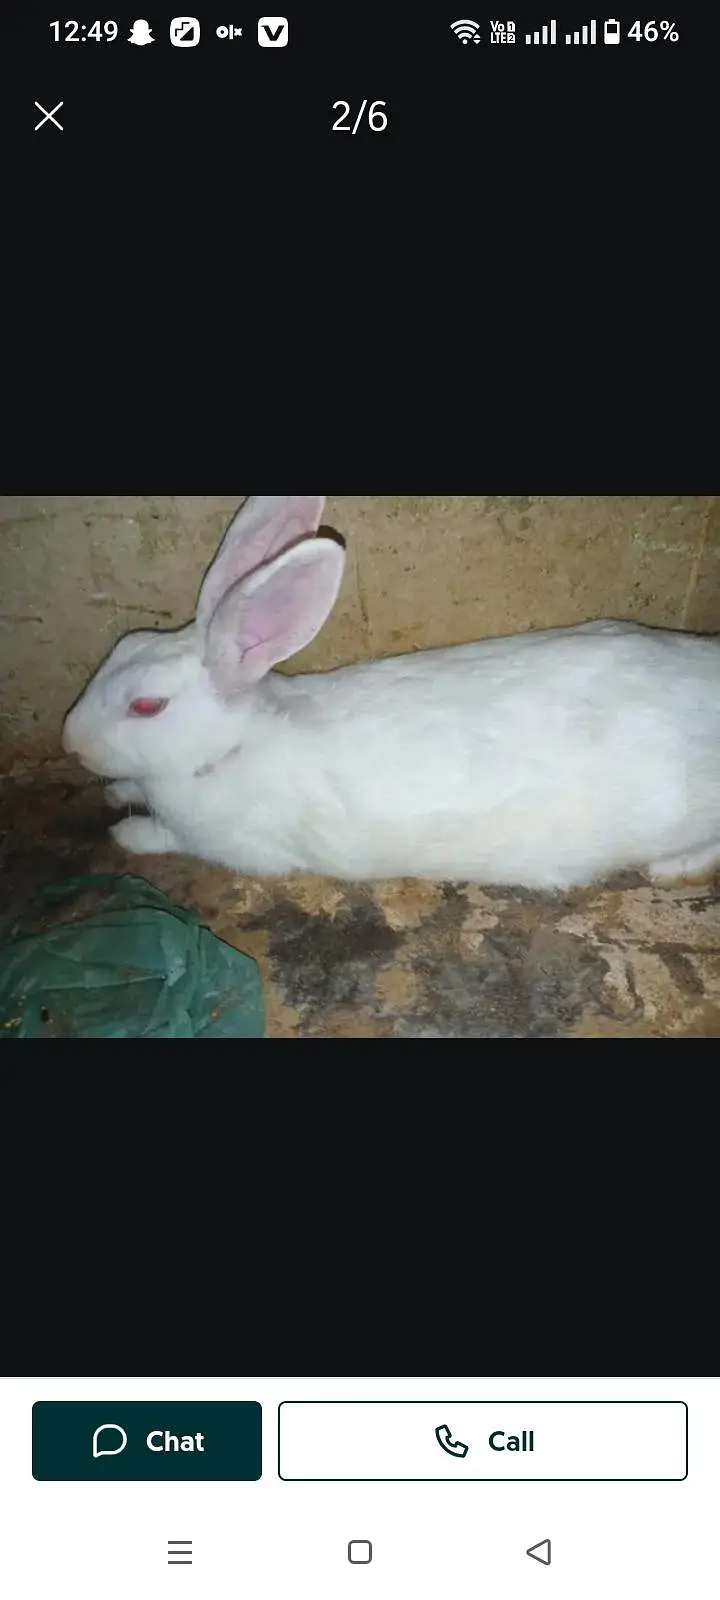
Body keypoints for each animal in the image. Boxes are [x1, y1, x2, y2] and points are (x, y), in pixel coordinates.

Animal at [62, 495, 720, 891]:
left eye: (147, 706)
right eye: (122, 646)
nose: (70, 744)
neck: (226, 750)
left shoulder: (235, 846)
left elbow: (168, 837)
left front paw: (126, 834)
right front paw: (117, 793)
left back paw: (670, 868)